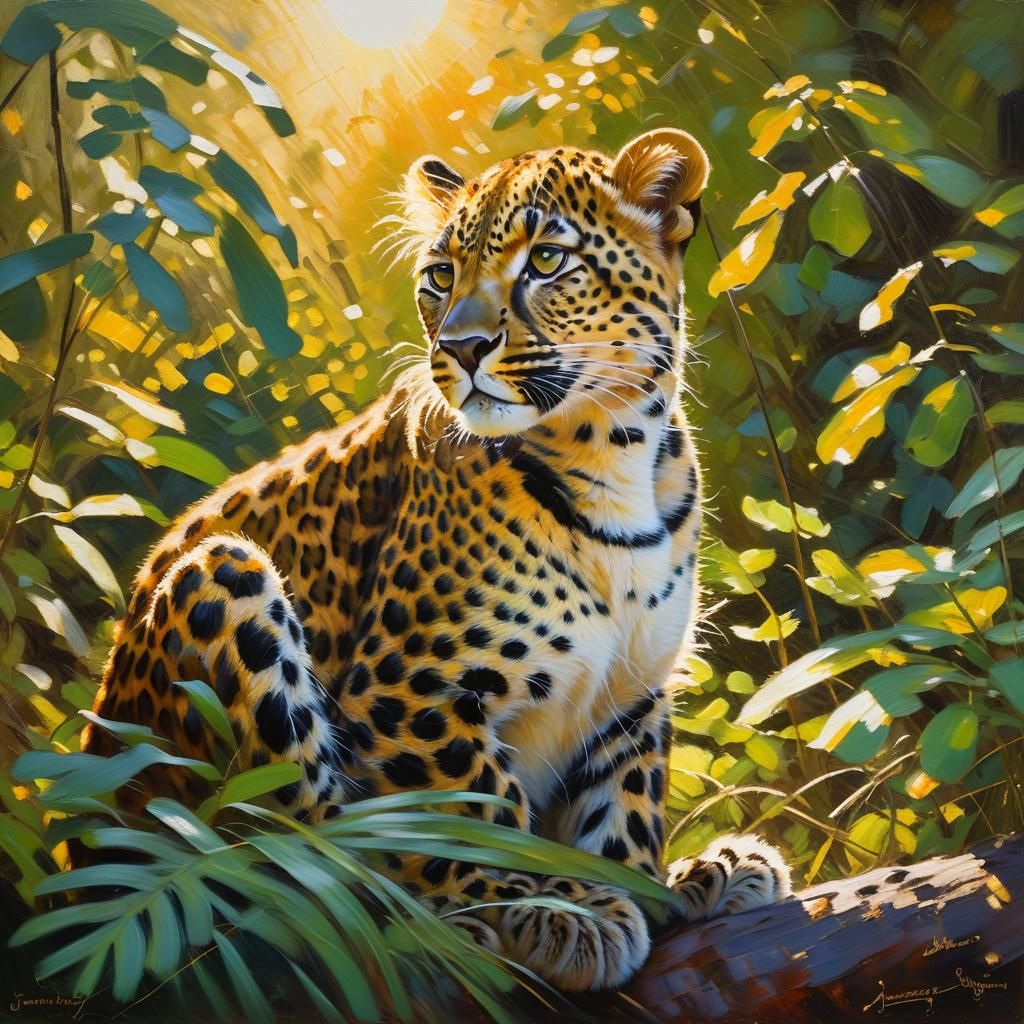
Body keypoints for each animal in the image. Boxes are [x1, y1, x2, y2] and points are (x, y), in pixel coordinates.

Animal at [82, 127, 791, 992]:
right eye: (441, 276)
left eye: (546, 261)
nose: (462, 344)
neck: (615, 460)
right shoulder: (414, 692)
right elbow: (477, 806)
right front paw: (556, 909)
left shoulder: (630, 697)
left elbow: (623, 807)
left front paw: (641, 886)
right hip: (219, 577)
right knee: (305, 864)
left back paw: (709, 874)